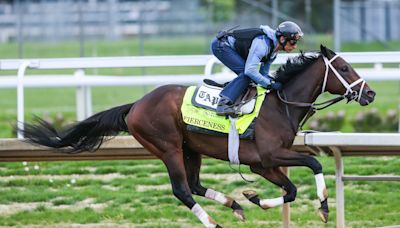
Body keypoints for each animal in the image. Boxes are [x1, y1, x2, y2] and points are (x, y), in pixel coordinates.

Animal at [18, 45, 376, 227]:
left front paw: (254, 198)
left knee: (194, 184)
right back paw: (215, 221)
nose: (370, 93)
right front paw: (324, 207)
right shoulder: (270, 156)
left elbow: (290, 190)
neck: (280, 104)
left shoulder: (261, 164)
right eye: (345, 68)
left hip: (191, 149)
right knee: (182, 190)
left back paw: (235, 204)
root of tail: (136, 105)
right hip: (168, 148)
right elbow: (314, 164)